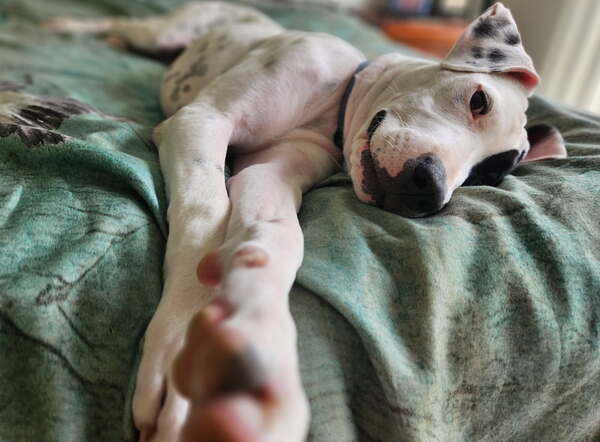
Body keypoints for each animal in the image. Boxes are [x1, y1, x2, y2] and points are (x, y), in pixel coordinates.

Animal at [43, 2, 567, 441]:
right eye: (479, 100)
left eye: (489, 175)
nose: (429, 190)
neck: (332, 104)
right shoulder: (202, 122)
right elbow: (204, 214)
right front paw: (179, 343)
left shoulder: (268, 175)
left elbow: (280, 241)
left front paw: (251, 335)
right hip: (170, 31)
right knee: (121, 25)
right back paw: (71, 27)